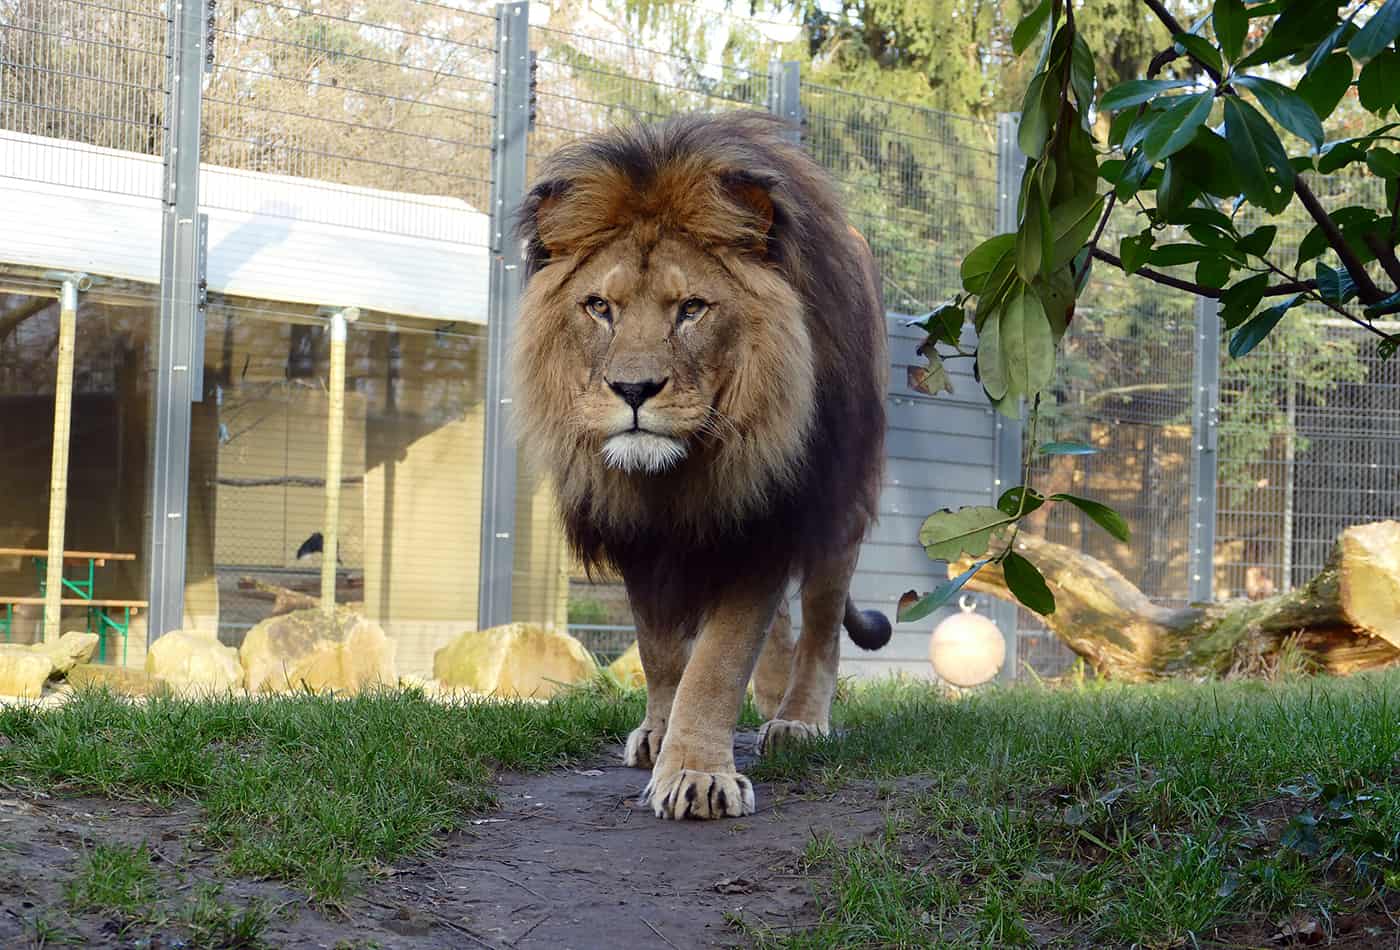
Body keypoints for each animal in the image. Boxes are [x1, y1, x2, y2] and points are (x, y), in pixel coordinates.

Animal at [512, 111, 884, 822]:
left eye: (691, 309)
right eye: (600, 307)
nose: (633, 389)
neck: (676, 476)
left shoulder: (766, 517)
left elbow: (718, 659)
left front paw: (697, 775)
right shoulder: (636, 532)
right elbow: (660, 650)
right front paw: (661, 735)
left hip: (844, 496)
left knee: (822, 620)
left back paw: (797, 720)